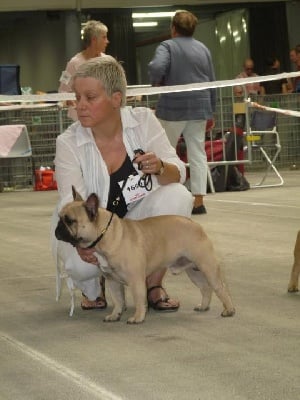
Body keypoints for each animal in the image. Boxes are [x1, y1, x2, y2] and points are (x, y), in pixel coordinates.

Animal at [55, 186, 236, 324]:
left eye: (69, 221)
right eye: (60, 218)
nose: (57, 228)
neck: (105, 235)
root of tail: (195, 225)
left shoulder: (136, 280)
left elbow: (139, 299)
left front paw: (137, 318)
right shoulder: (112, 281)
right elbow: (118, 300)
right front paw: (115, 315)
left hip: (207, 267)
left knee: (221, 288)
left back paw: (229, 310)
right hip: (193, 270)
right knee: (205, 288)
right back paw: (203, 306)